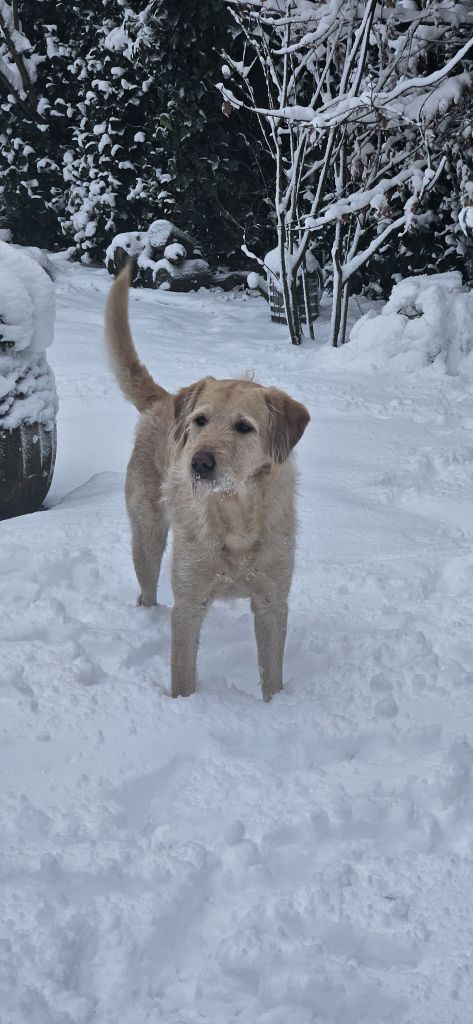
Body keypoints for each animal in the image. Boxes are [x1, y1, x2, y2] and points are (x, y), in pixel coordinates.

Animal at [105, 265, 310, 700]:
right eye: (200, 420)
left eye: (244, 427)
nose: (199, 462)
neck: (235, 516)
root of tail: (166, 400)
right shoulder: (189, 604)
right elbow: (182, 676)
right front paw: (184, 707)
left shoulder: (272, 601)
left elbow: (272, 674)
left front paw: (275, 706)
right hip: (147, 536)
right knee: (147, 590)